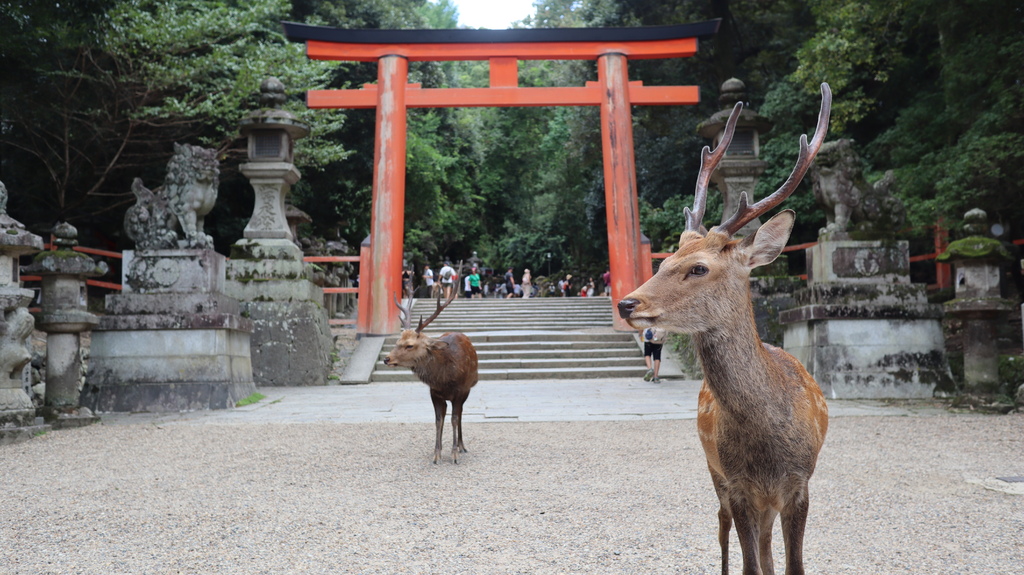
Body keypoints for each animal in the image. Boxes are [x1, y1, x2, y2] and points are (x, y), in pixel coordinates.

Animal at [385, 290, 479, 460]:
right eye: (397, 342)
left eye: (410, 345)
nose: (386, 359)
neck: (444, 379)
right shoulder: (434, 392)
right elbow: (438, 420)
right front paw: (437, 454)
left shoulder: (460, 391)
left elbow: (454, 419)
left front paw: (454, 454)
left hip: (468, 388)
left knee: (460, 413)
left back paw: (461, 446)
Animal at [614, 81, 831, 572]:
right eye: (664, 262)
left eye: (698, 268)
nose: (627, 302)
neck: (767, 447)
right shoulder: (737, 484)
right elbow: (749, 562)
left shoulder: (800, 485)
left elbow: (792, 564)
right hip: (714, 474)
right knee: (723, 529)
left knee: (766, 545)